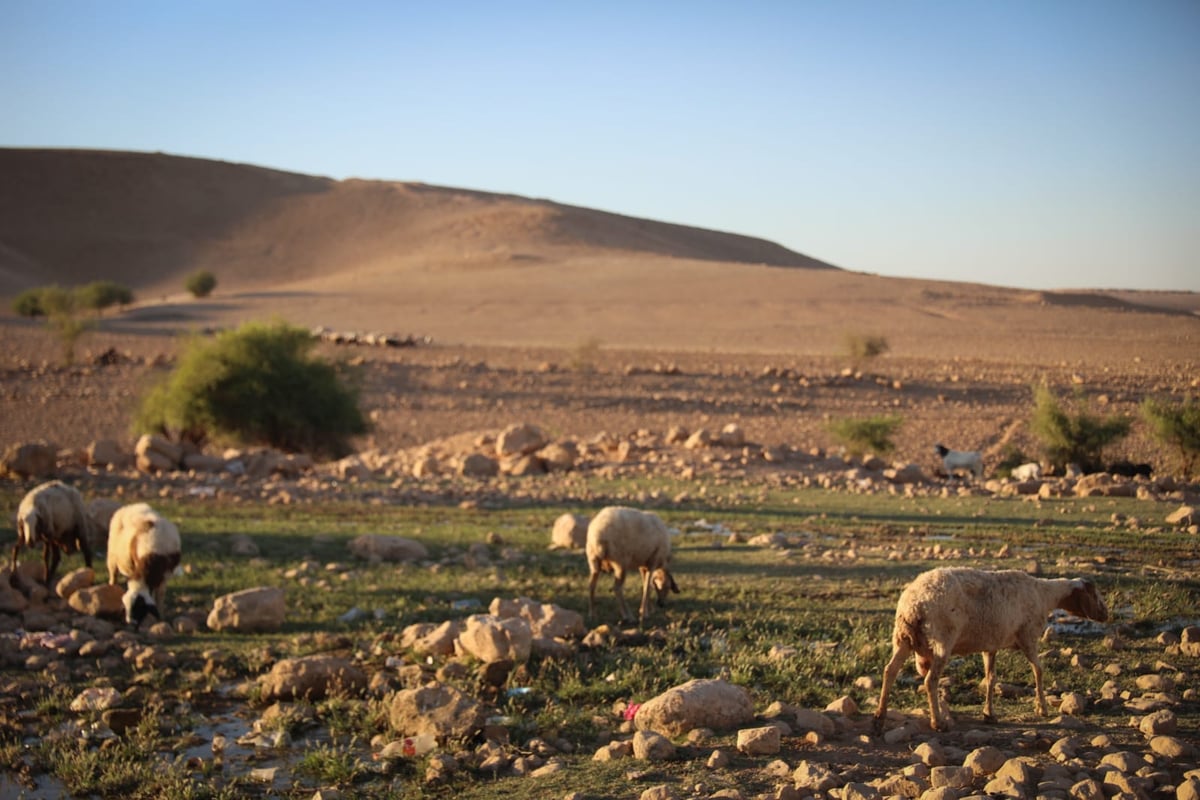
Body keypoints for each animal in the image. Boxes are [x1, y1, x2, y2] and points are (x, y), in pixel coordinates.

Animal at [873, 563, 1104, 734]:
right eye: (1093, 594)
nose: (1106, 614)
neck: (1045, 595)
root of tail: (913, 604)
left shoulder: (990, 645)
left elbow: (991, 679)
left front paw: (989, 714)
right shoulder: (1028, 637)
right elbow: (1038, 670)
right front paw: (1042, 708)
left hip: (902, 638)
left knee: (890, 671)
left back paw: (879, 717)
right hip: (942, 640)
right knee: (931, 680)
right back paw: (938, 722)